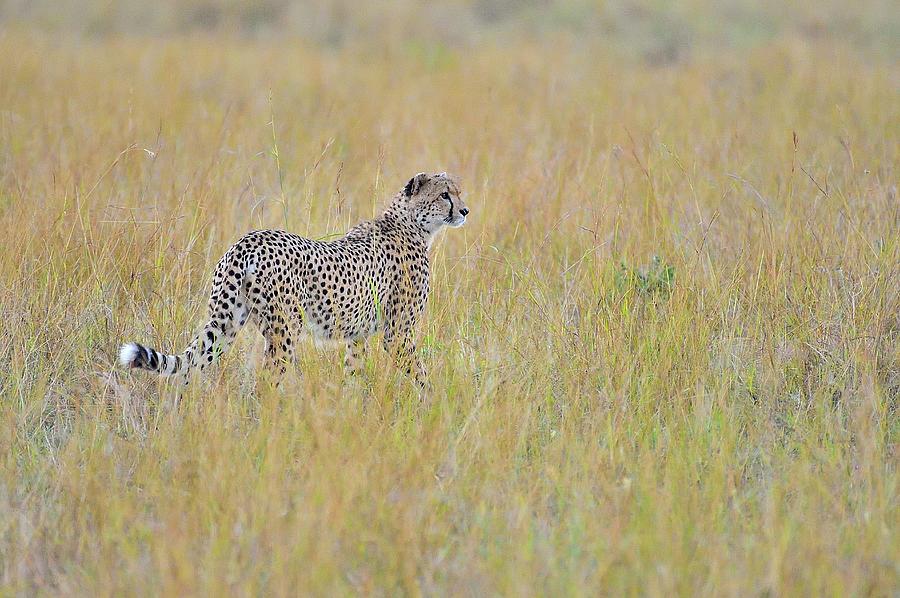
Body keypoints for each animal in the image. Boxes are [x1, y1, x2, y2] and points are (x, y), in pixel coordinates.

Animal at [118, 173, 472, 390]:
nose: (465, 210)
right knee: (265, 383)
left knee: (189, 369)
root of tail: (247, 241)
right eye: (445, 195)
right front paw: (432, 407)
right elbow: (421, 376)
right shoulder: (397, 334)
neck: (411, 224)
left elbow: (353, 373)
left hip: (227, 322)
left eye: (457, 192)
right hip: (285, 330)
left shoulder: (356, 336)